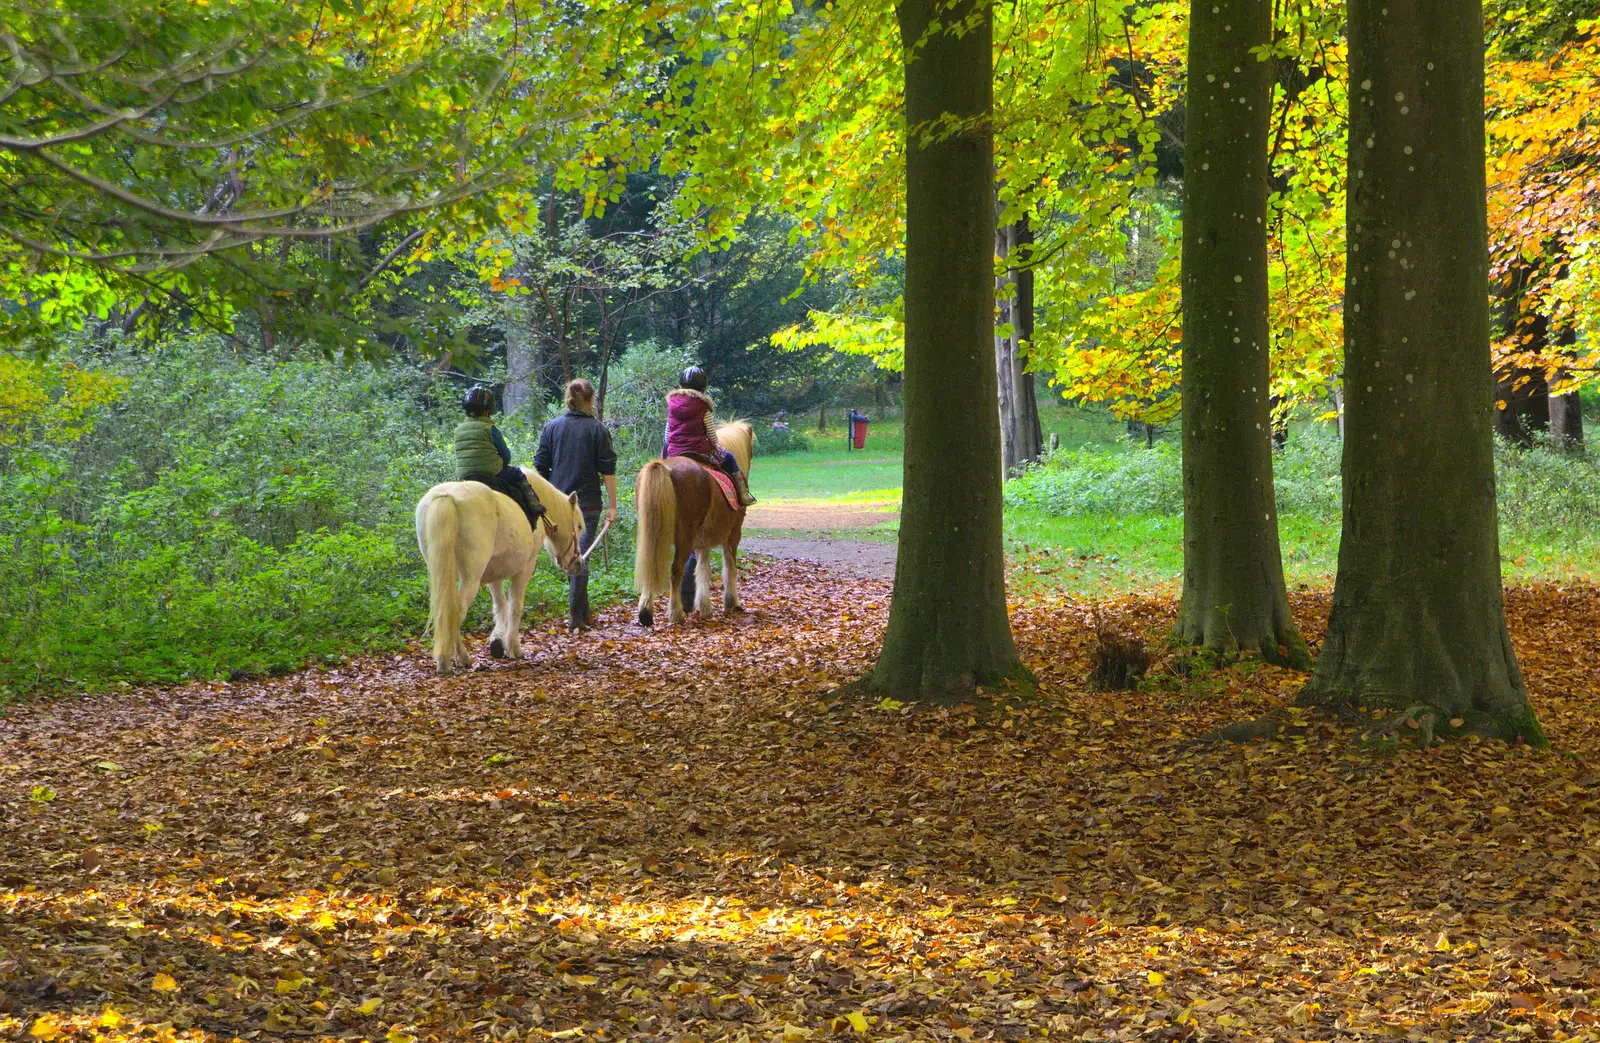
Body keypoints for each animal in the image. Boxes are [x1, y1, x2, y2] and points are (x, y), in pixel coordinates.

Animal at [412, 470, 588, 675]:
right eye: (578, 526)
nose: (578, 564)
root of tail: (446, 498)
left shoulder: (494, 573)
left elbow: (500, 605)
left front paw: (497, 641)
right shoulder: (525, 569)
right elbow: (516, 606)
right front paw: (514, 648)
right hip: (470, 579)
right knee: (456, 612)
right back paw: (455, 659)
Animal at [633, 419, 752, 627]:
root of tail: (662, 467)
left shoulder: (702, 541)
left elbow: (702, 569)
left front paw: (704, 607)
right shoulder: (734, 534)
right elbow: (729, 566)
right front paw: (731, 602)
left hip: (651, 533)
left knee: (650, 563)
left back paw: (646, 612)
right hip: (684, 536)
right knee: (676, 570)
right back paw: (676, 614)